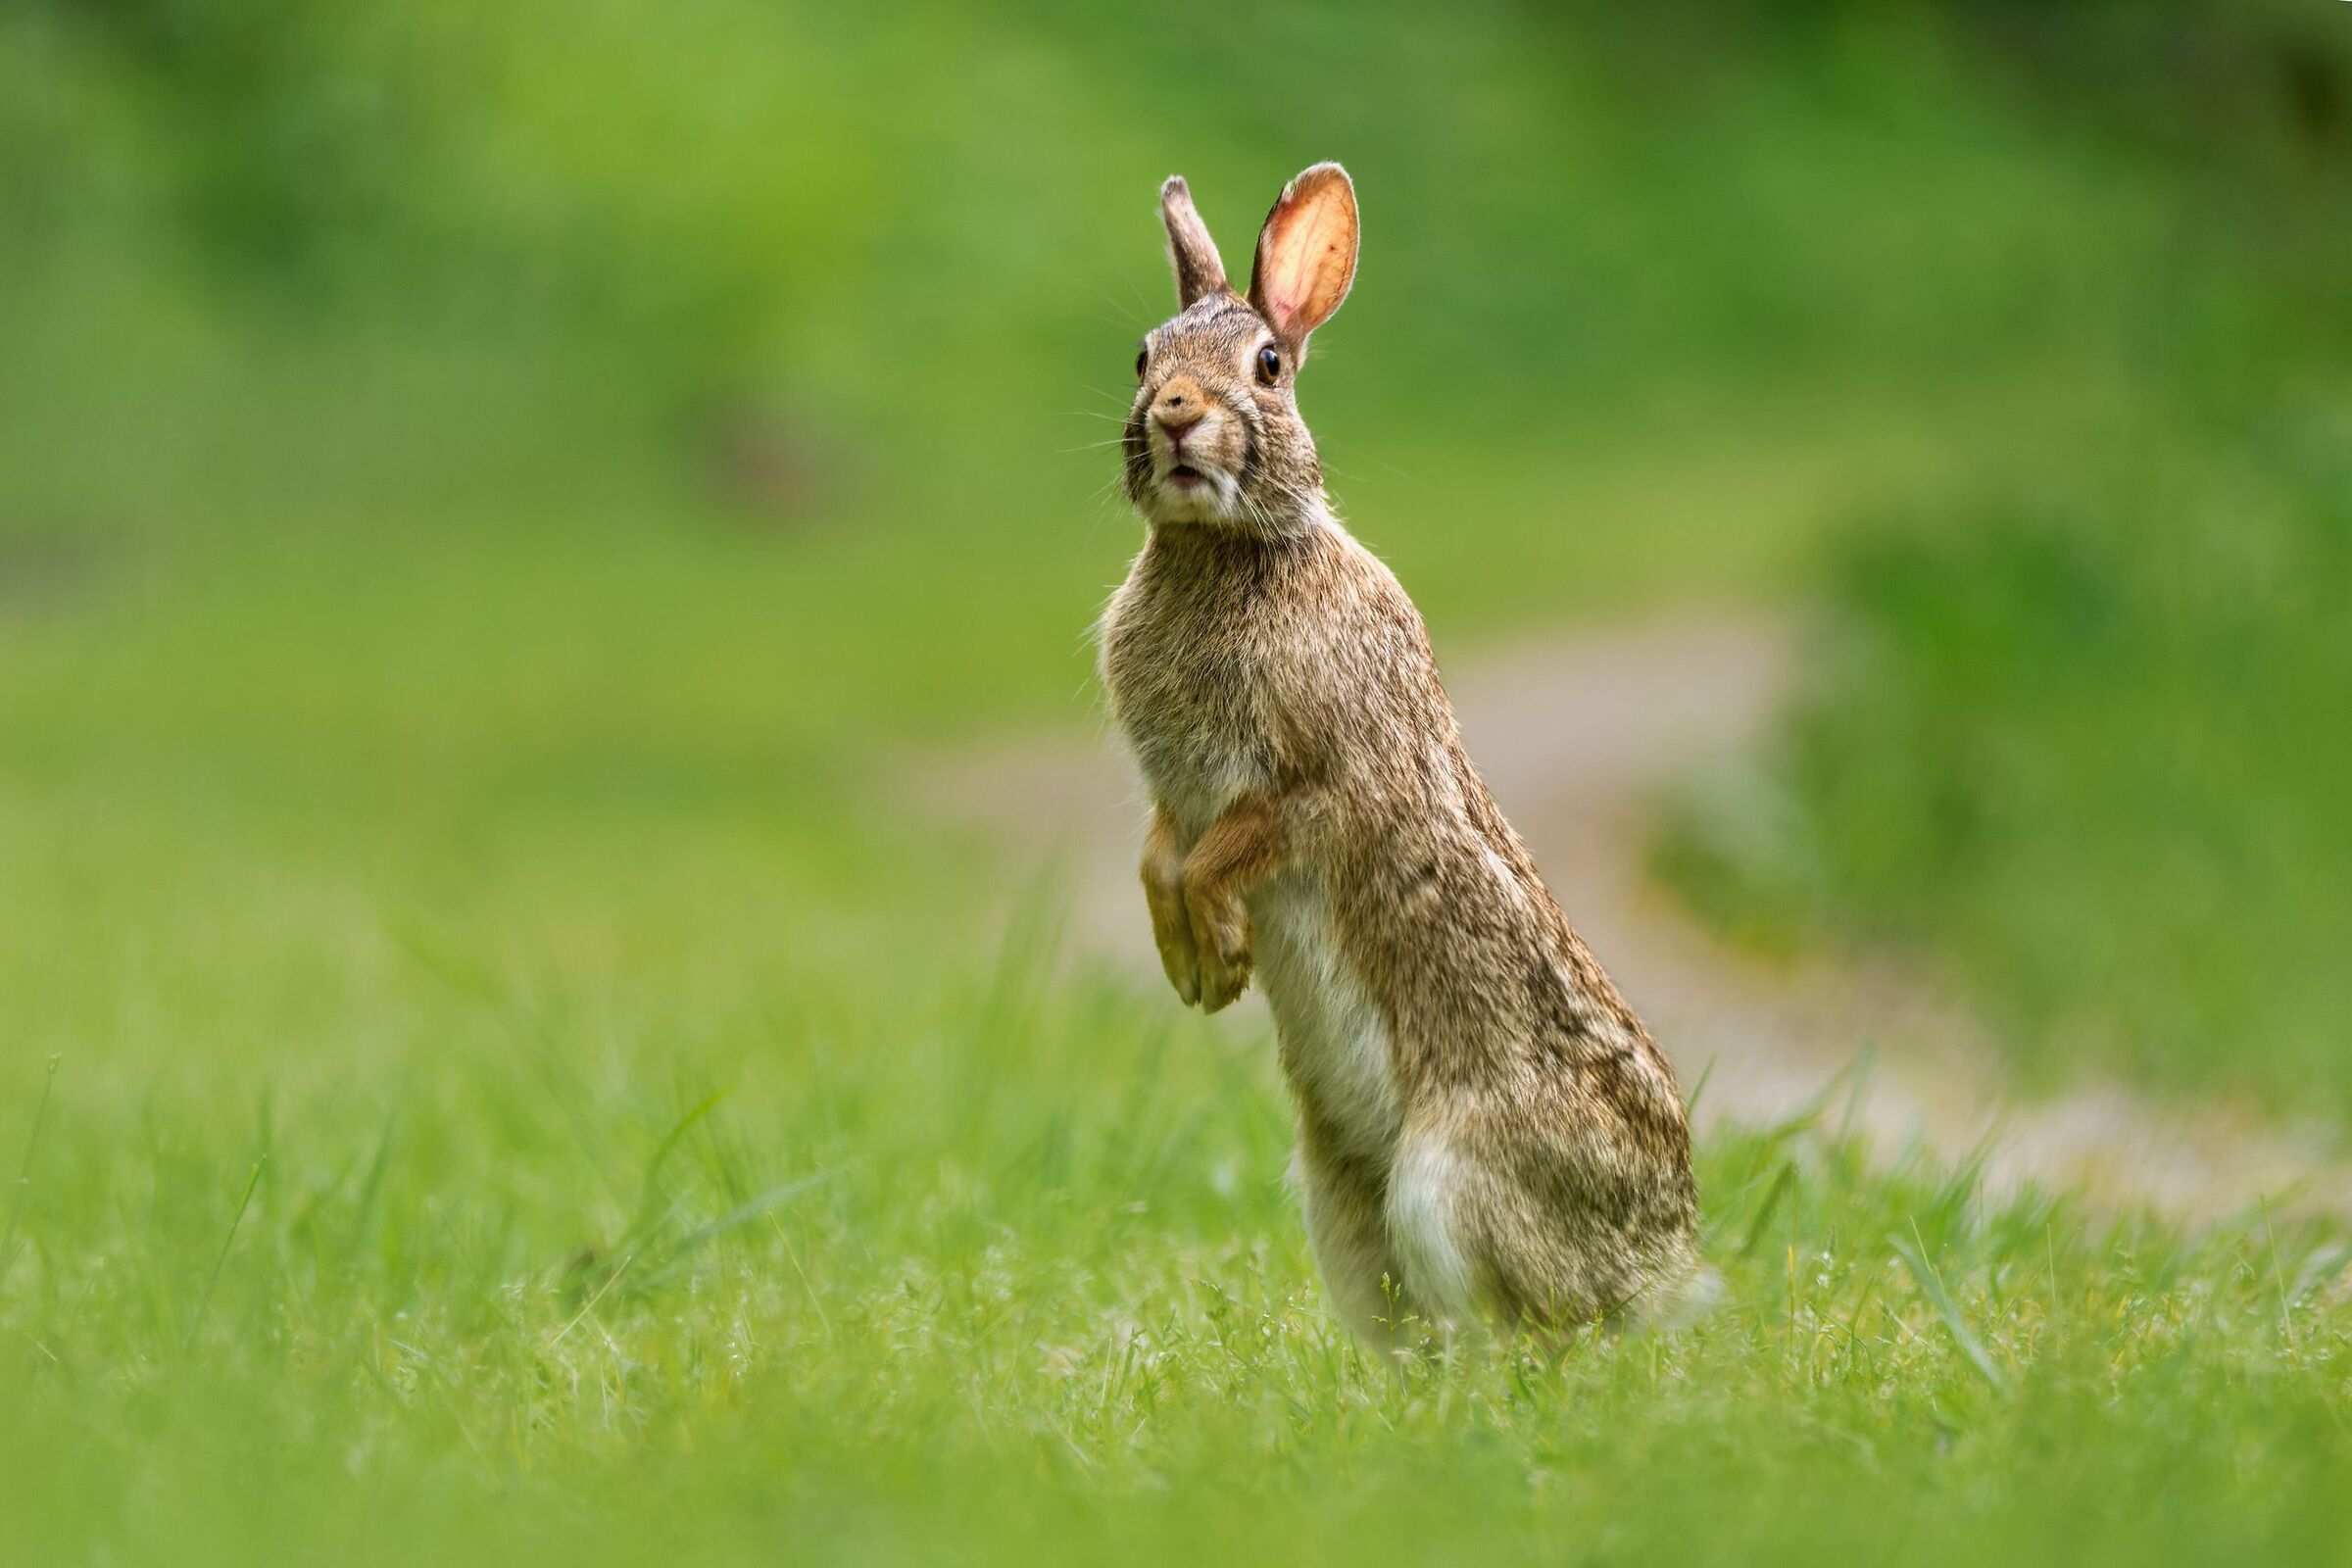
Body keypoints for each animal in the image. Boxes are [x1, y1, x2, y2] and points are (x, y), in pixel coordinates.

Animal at [1096, 164, 1708, 1342]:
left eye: (1268, 365)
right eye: (1145, 355)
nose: (1176, 412)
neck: (1229, 550)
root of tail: (1663, 1272)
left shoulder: (1327, 784)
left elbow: (1225, 851)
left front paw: (1218, 958)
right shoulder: (1170, 795)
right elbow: (1156, 859)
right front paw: (1189, 965)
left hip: (1447, 1185)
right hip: (1340, 1202)